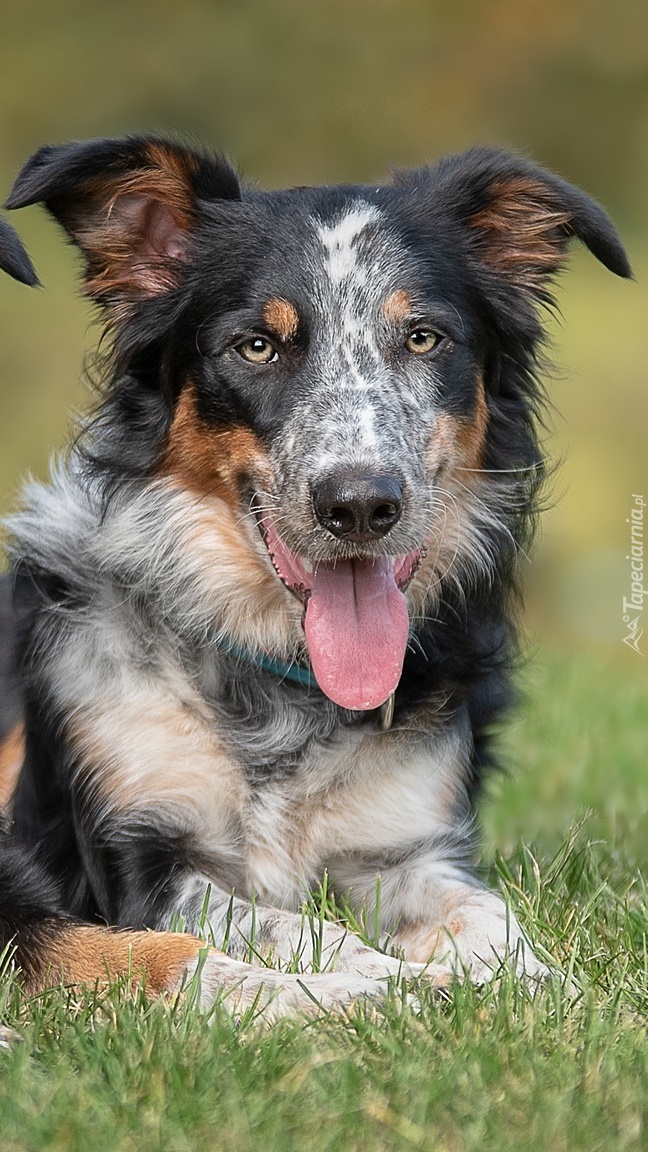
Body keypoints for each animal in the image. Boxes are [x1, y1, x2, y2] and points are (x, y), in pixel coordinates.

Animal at [0, 139, 627, 1013]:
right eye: (257, 346)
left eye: (424, 338)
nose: (360, 504)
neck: (280, 680)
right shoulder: (141, 866)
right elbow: (295, 928)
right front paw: (382, 987)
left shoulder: (406, 849)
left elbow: (487, 916)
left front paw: (537, 990)